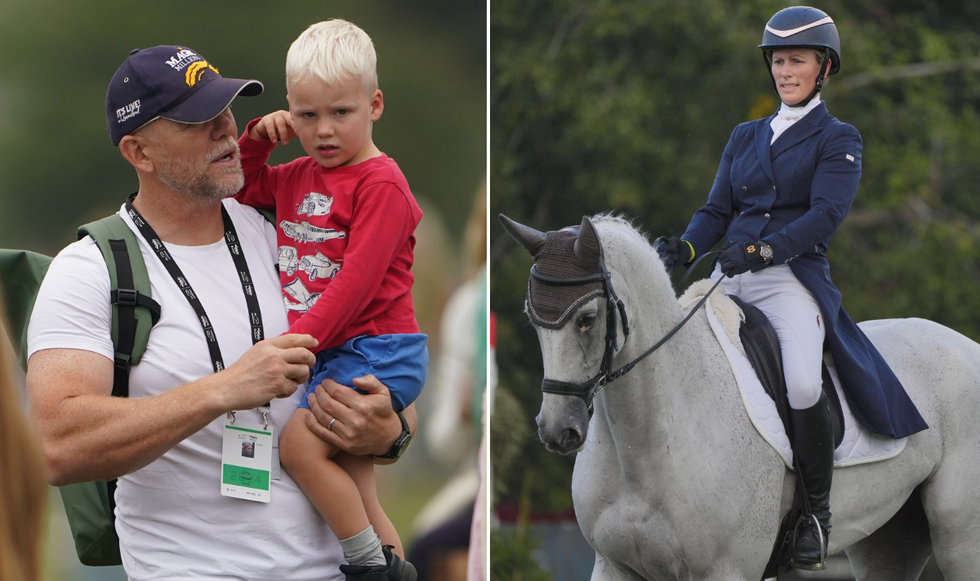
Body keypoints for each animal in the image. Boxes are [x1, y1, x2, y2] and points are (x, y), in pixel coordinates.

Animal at [502, 213, 980, 580]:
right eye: (533, 320)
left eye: (585, 319)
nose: (556, 430)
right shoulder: (614, 566)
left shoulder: (726, 570)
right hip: (888, 540)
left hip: (960, 540)